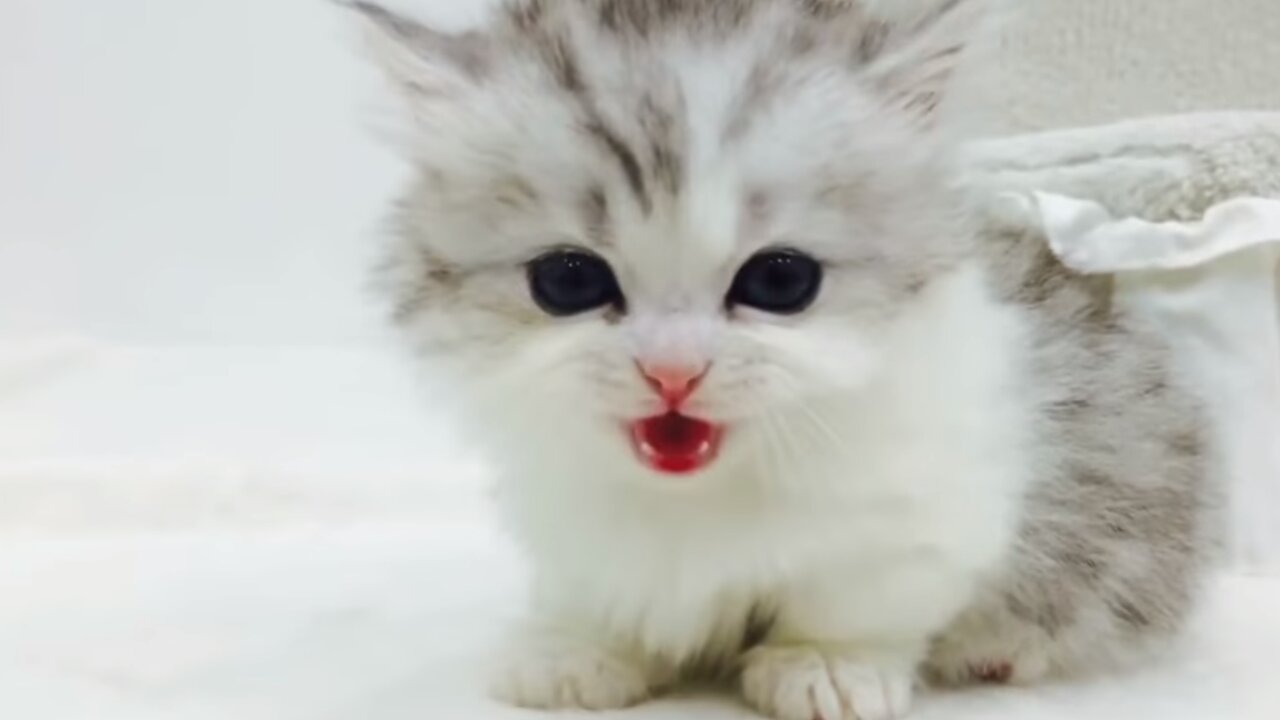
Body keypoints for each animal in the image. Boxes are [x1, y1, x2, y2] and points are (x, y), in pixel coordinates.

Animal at [348, 1, 1208, 717]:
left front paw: (824, 666)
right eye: (566, 281)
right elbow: (596, 586)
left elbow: (856, 602)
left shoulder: (927, 513)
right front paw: (582, 650)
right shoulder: (568, 510)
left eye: (781, 281)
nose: (672, 372)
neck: (702, 492)